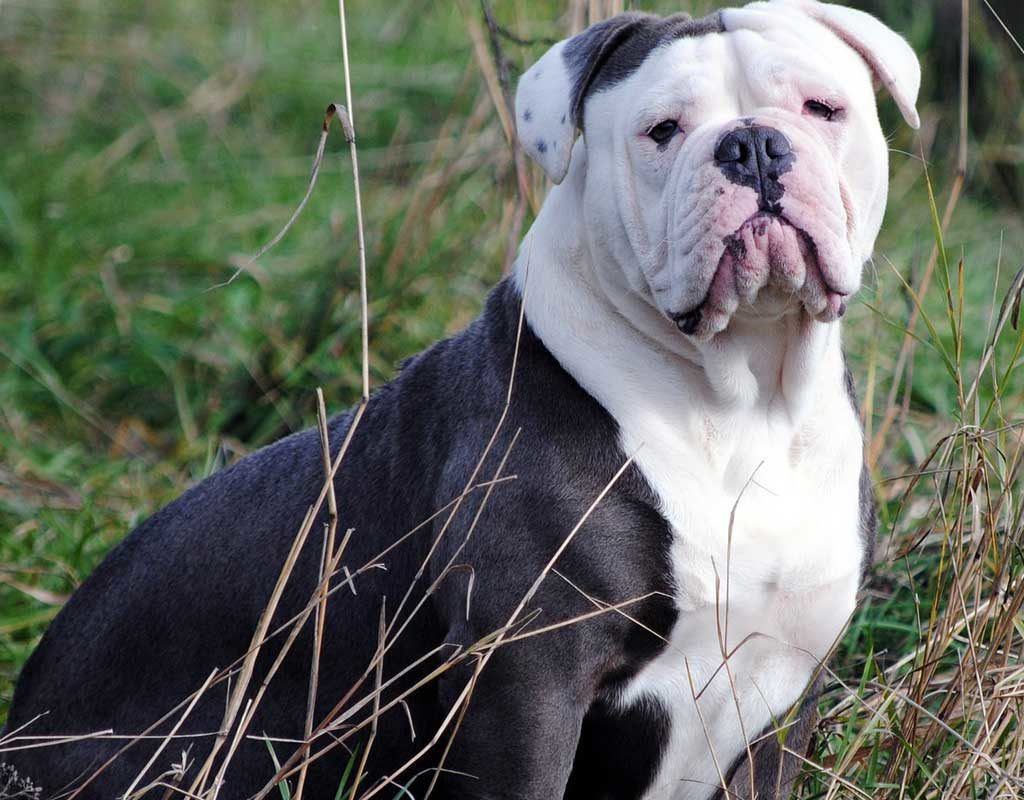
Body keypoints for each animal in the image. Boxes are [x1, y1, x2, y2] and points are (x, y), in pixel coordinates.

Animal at [4, 3, 917, 794]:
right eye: (663, 130)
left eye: (823, 108)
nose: (754, 145)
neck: (740, 400)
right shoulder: (523, 678)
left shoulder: (780, 692)